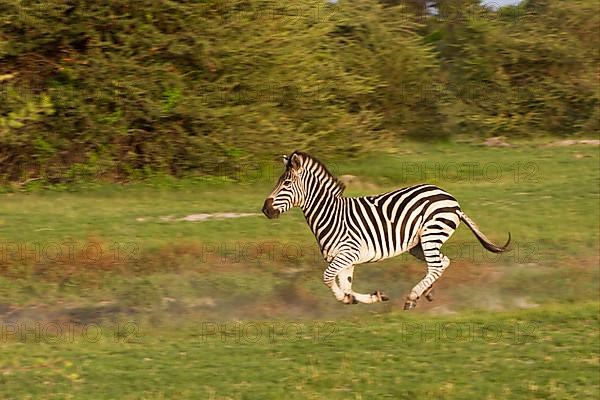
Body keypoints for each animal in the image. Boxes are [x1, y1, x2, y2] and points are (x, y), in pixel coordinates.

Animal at [260, 150, 508, 310]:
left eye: (286, 184)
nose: (265, 209)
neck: (330, 215)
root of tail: (452, 200)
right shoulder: (344, 259)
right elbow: (346, 286)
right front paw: (368, 298)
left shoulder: (348, 253)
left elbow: (327, 277)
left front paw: (350, 298)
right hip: (418, 244)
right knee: (442, 263)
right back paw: (425, 292)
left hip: (431, 234)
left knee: (437, 265)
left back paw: (412, 297)